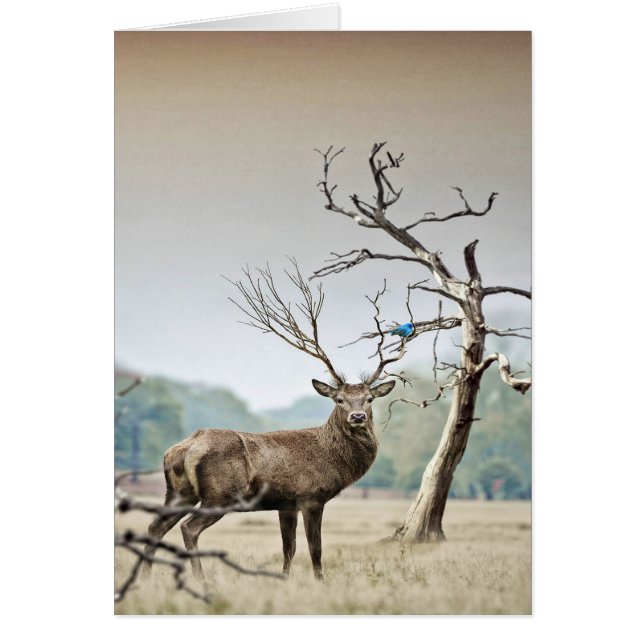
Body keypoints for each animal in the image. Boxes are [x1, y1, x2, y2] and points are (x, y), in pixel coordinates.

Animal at [140, 262, 409, 581]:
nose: (357, 417)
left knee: (155, 525)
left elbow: (288, 548)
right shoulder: (311, 496)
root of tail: (182, 448)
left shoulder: (286, 504)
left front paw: (284, 579)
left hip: (179, 492)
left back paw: (145, 577)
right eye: (339, 399)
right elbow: (315, 548)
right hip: (220, 494)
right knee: (188, 528)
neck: (332, 458)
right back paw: (199, 578)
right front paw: (320, 581)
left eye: (369, 399)